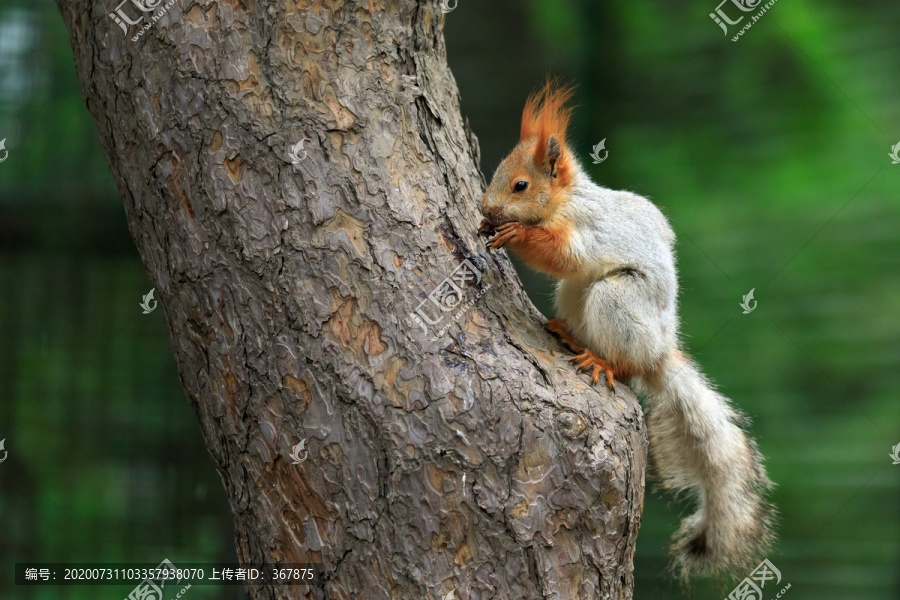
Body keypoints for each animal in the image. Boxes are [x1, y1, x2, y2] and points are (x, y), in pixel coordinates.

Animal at [478, 82, 772, 580]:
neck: (567, 200)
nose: (486, 207)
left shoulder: (586, 230)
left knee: (625, 363)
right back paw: (569, 334)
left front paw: (515, 233)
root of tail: (659, 355)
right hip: (572, 294)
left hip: (616, 299)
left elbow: (562, 253)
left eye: (520, 185)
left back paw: (601, 359)